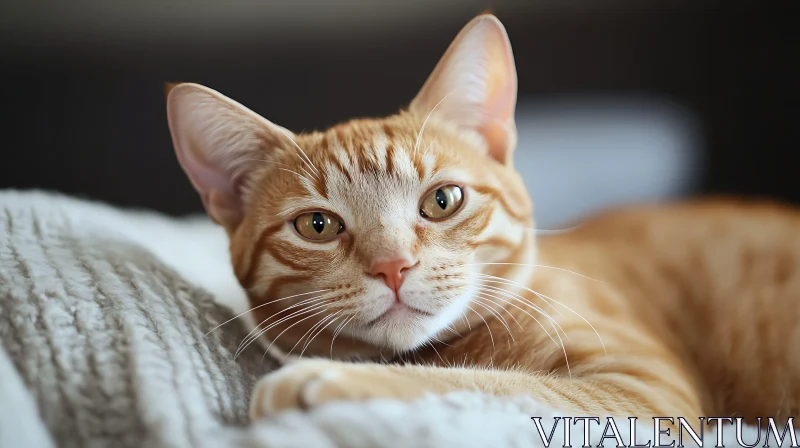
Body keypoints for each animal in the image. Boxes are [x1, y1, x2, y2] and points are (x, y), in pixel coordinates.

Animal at [166, 14, 796, 426]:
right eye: (318, 226)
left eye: (442, 201)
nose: (394, 266)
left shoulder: (644, 391)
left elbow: (492, 384)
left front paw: (326, 380)